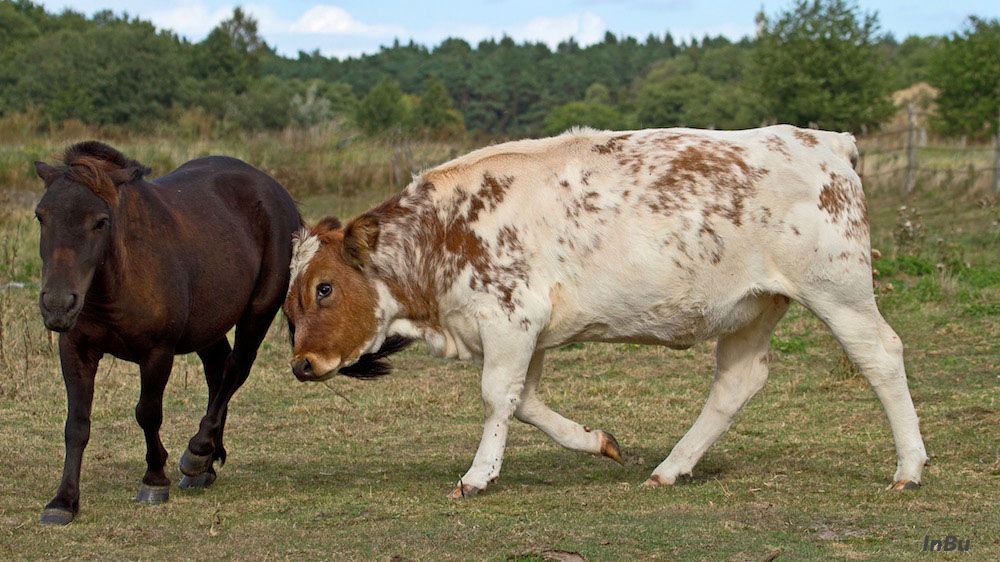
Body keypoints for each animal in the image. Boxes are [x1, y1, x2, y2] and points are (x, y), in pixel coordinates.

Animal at [34, 142, 300, 524]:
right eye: (41, 216)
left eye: (100, 221)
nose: (57, 304)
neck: (114, 281)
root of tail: (276, 190)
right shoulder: (75, 349)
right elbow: (77, 424)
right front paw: (63, 501)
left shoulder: (157, 353)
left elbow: (148, 413)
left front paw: (154, 479)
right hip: (209, 324)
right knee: (218, 370)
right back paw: (205, 465)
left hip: (257, 312)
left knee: (235, 370)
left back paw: (198, 453)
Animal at [284, 126, 928, 494]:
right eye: (290, 302)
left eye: (325, 289)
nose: (302, 365)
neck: (446, 230)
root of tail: (823, 141)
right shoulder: (529, 333)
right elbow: (524, 403)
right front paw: (598, 442)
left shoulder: (510, 319)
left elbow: (496, 398)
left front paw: (478, 475)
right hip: (753, 307)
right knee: (737, 383)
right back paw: (672, 466)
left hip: (838, 289)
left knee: (881, 356)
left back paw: (909, 468)